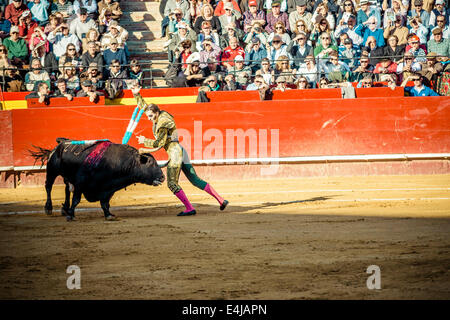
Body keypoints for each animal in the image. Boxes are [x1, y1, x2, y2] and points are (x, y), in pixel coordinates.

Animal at [30, 139, 166, 221]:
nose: (163, 177)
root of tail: (61, 143)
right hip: (52, 170)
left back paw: (65, 209)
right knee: (48, 186)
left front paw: (109, 215)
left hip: (66, 176)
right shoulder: (80, 183)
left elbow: (105, 203)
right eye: (151, 163)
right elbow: (76, 200)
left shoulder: (108, 188)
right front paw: (71, 216)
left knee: (66, 189)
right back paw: (49, 208)